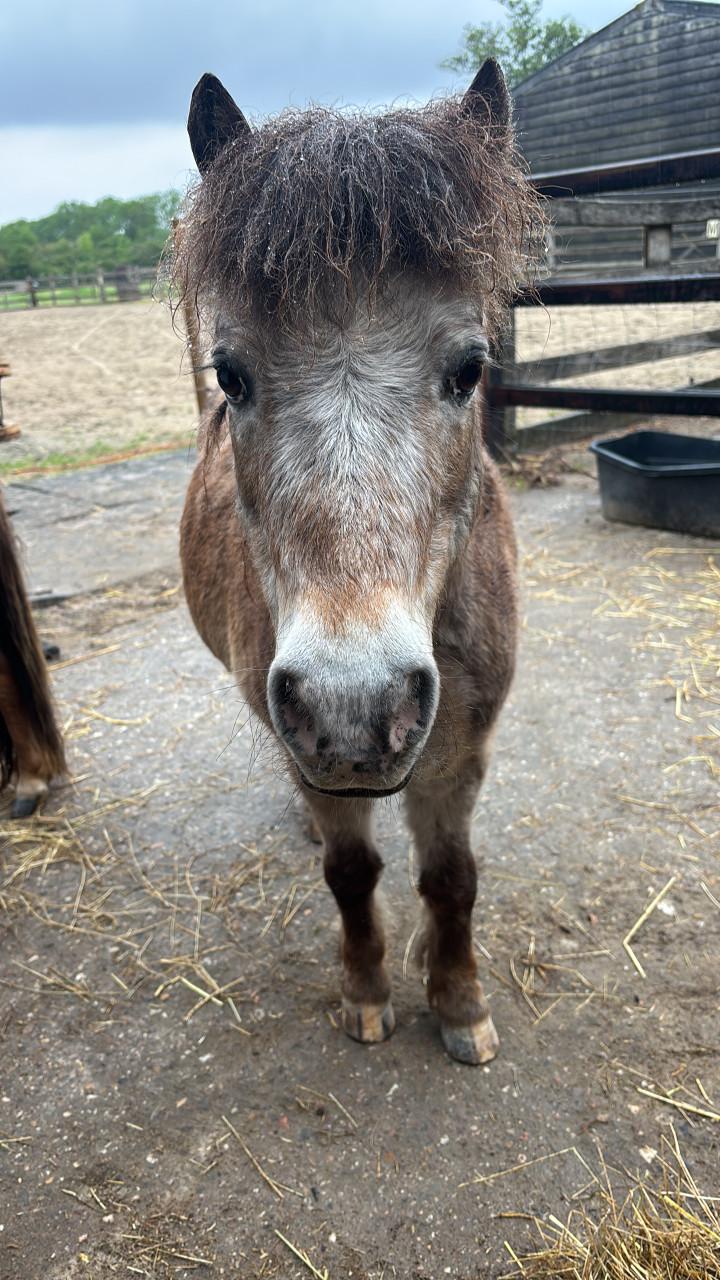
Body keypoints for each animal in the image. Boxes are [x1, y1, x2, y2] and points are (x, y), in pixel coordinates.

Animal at [176, 61, 543, 1064]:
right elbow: (351, 873)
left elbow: (451, 878)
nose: (354, 707)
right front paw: (367, 993)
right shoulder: (315, 756)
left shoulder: (461, 755)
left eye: (470, 367)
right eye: (231, 375)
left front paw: (458, 1003)